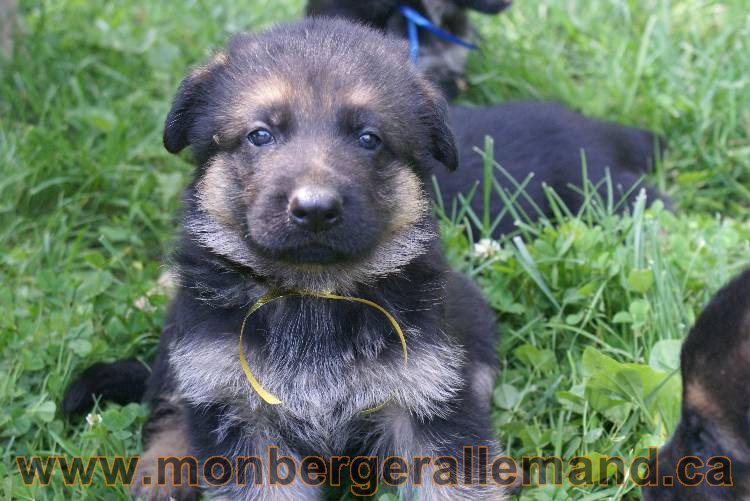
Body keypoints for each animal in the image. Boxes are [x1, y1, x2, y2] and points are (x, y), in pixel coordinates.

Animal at [66, 17, 512, 498]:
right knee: (169, 401)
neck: (312, 292)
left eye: (369, 138)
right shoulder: (242, 412)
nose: (315, 209)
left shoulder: (428, 398)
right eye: (261, 135)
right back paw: (164, 467)